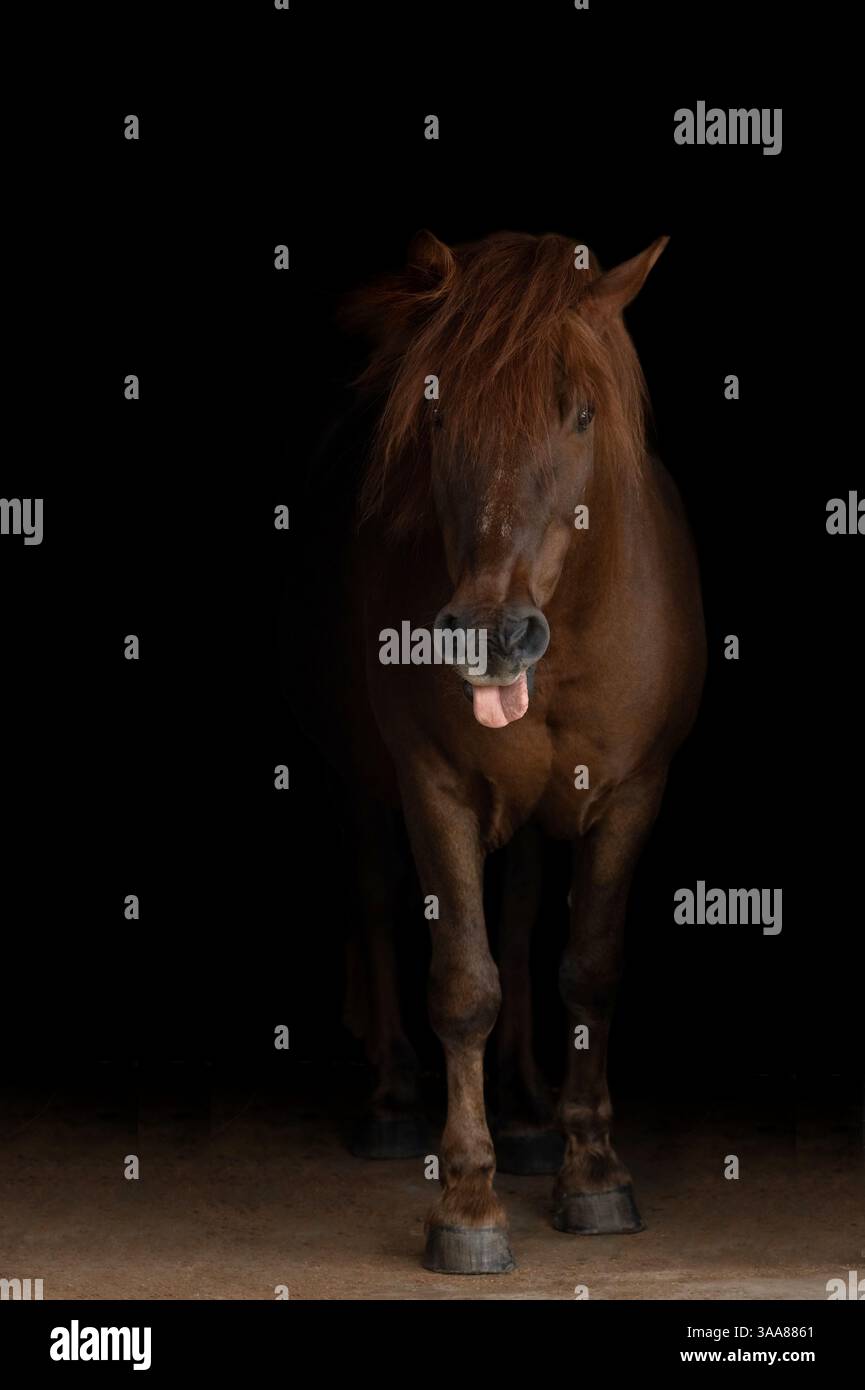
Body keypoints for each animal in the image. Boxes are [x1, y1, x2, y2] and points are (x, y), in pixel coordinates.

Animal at [291, 227, 706, 1275]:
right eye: (437, 418)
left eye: (582, 414)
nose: (490, 633)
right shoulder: (433, 787)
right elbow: (462, 984)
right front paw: (469, 1202)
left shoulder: (633, 794)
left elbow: (585, 970)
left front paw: (591, 1171)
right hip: (364, 788)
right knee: (377, 901)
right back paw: (395, 1099)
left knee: (520, 920)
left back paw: (526, 1112)